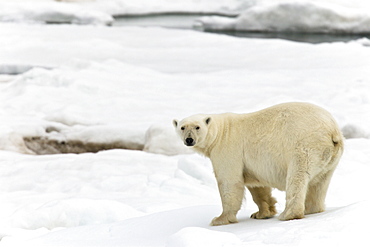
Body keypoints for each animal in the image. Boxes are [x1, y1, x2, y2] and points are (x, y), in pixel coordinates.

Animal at [173, 102, 344, 226]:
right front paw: (262, 213)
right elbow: (257, 186)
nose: (189, 139)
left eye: (197, 127)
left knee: (298, 177)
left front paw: (220, 219)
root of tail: (332, 130)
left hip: (303, 146)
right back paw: (311, 209)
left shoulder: (227, 149)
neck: (221, 131)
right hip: (330, 159)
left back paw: (288, 214)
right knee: (320, 183)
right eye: (182, 127)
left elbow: (229, 182)